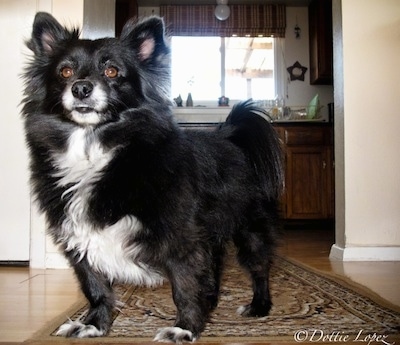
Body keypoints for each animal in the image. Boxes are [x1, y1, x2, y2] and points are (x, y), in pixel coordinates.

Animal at [21, 12, 284, 342]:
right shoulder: (79, 238)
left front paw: (185, 328)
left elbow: (184, 287)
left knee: (259, 268)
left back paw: (259, 305)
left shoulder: (181, 239)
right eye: (65, 72)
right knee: (214, 267)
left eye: (111, 71)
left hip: (250, 230)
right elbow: (95, 287)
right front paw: (94, 324)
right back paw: (211, 302)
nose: (81, 88)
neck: (96, 149)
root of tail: (227, 134)